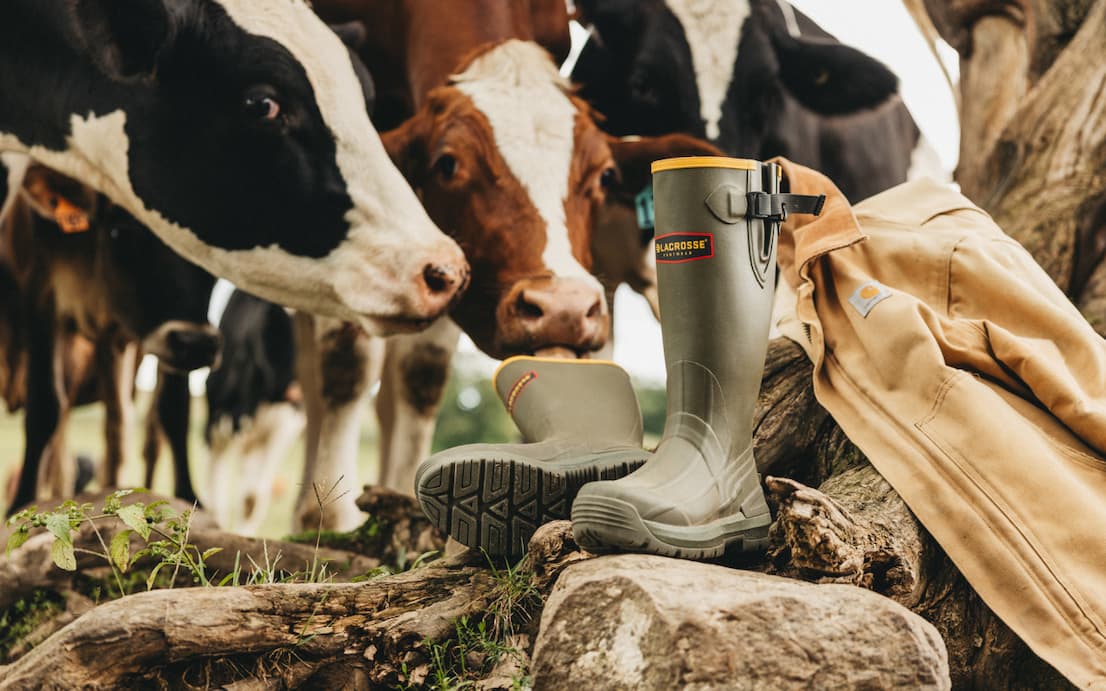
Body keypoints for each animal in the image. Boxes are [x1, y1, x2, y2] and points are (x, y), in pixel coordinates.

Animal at [2, 164, 219, 515]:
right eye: (120, 231)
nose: (197, 344)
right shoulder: (41, 296)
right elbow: (44, 406)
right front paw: (21, 504)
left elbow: (174, 411)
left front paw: (187, 496)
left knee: (125, 435)